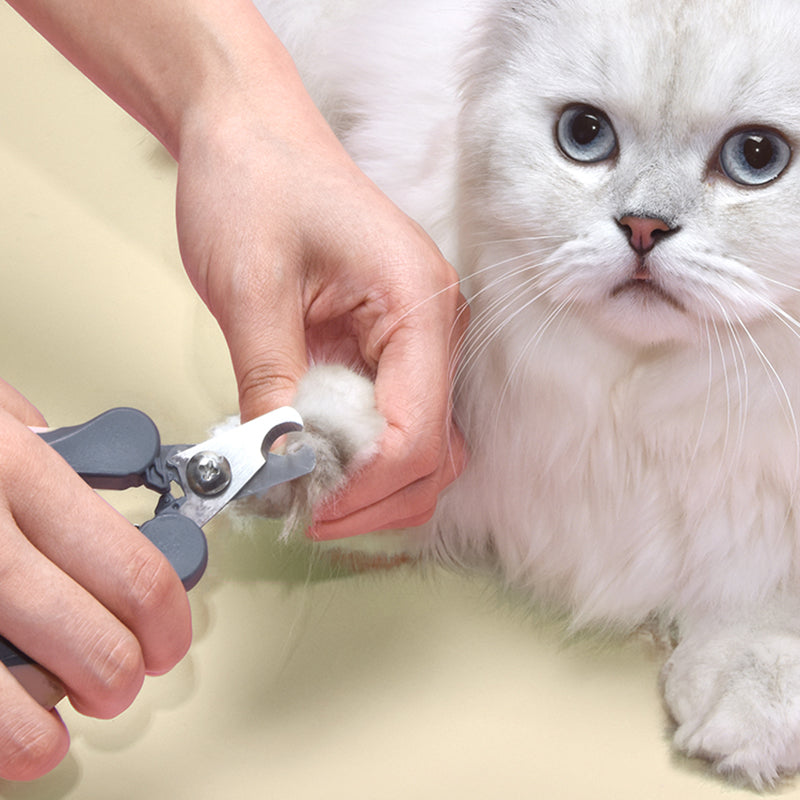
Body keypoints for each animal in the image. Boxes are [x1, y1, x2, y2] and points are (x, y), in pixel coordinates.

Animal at [252, 0, 800, 788]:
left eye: (757, 156)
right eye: (585, 135)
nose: (642, 227)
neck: (640, 405)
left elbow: (770, 607)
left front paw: (747, 709)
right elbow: (356, 449)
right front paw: (312, 449)